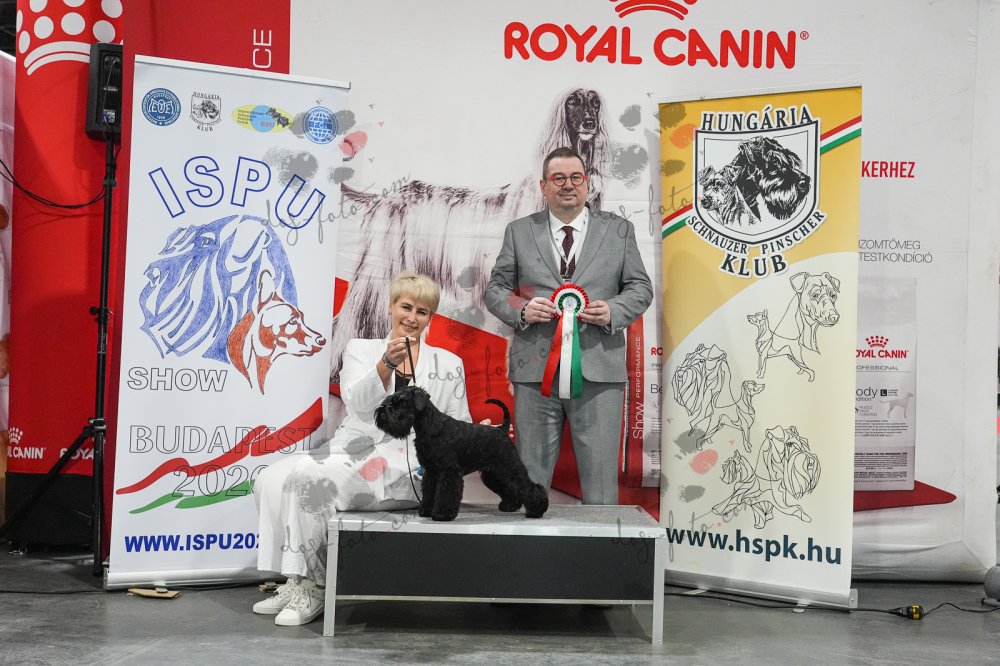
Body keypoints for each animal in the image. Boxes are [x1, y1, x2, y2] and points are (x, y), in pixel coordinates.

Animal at [329, 88, 612, 382]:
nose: (590, 123)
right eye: (573, 102)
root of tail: (384, 197)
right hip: (379, 271)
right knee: (354, 318)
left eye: (595, 102)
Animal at [374, 387, 549, 521]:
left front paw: (442, 514)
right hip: (494, 472)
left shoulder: (448, 472)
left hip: (510, 466)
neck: (431, 427)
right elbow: (429, 493)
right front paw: (426, 510)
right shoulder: (431, 472)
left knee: (529, 486)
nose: (382, 412)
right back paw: (510, 505)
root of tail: (501, 429)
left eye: (403, 401)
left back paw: (537, 510)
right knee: (511, 487)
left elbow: (446, 494)